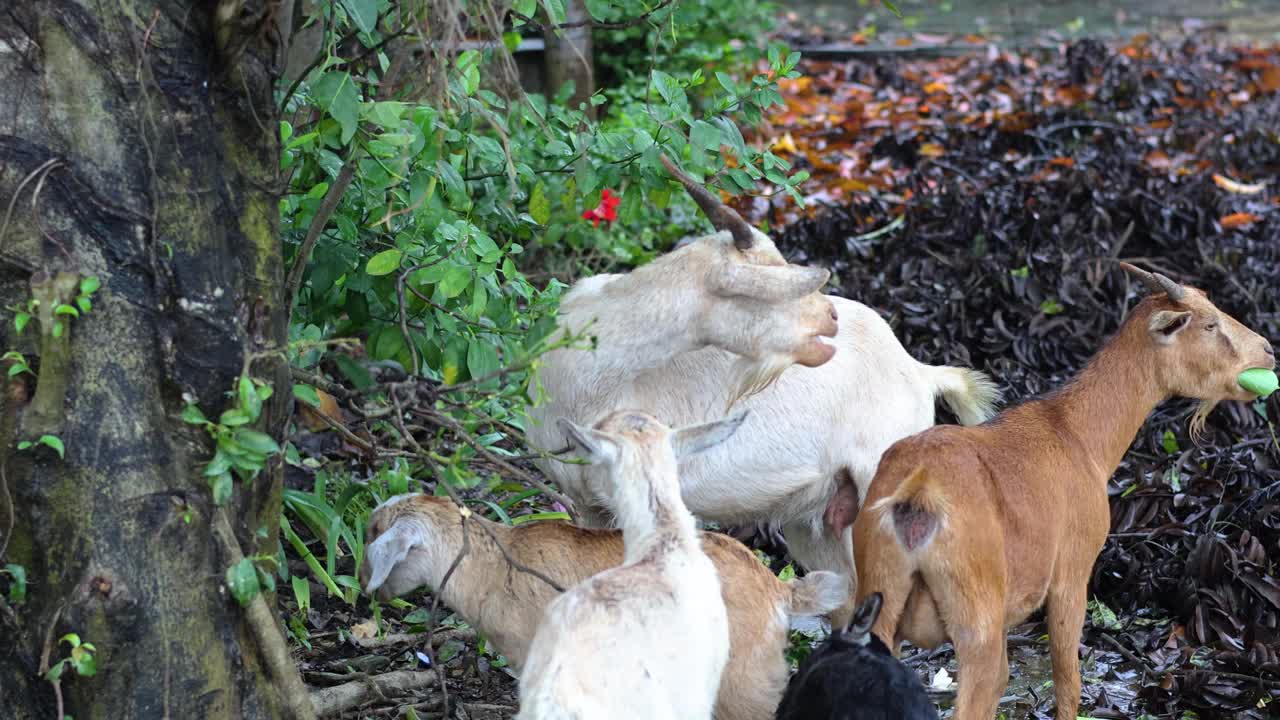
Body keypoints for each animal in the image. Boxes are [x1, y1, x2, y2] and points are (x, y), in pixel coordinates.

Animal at [527, 155, 998, 609]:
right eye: (764, 293)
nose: (830, 317)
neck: (590, 378)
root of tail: (919, 371)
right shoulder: (587, 503)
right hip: (820, 521)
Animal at [844, 263, 1274, 717]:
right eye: (1208, 323)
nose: (1267, 351)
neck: (1076, 433)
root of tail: (918, 493)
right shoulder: (1072, 572)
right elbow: (1067, 681)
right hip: (976, 619)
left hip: (880, 599)